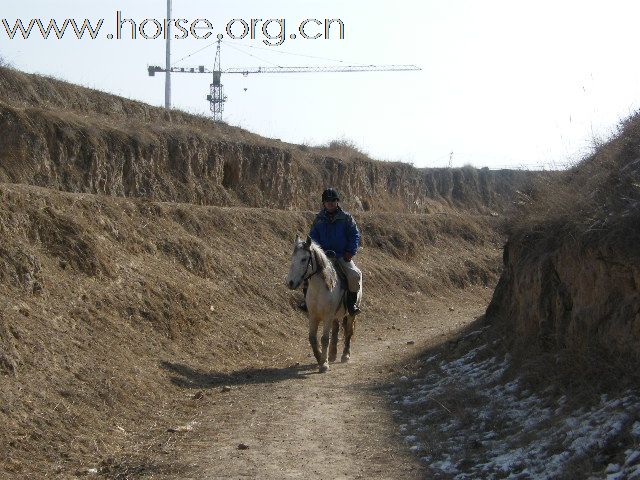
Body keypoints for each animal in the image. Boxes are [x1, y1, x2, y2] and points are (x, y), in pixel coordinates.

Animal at [286, 234, 360, 374]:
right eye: (292, 258)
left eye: (304, 259)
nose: (290, 283)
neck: (319, 288)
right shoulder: (313, 316)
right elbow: (312, 338)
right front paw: (320, 358)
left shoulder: (327, 316)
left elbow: (324, 339)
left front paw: (324, 364)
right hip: (335, 316)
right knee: (336, 329)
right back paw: (332, 354)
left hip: (350, 314)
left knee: (348, 331)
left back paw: (345, 355)